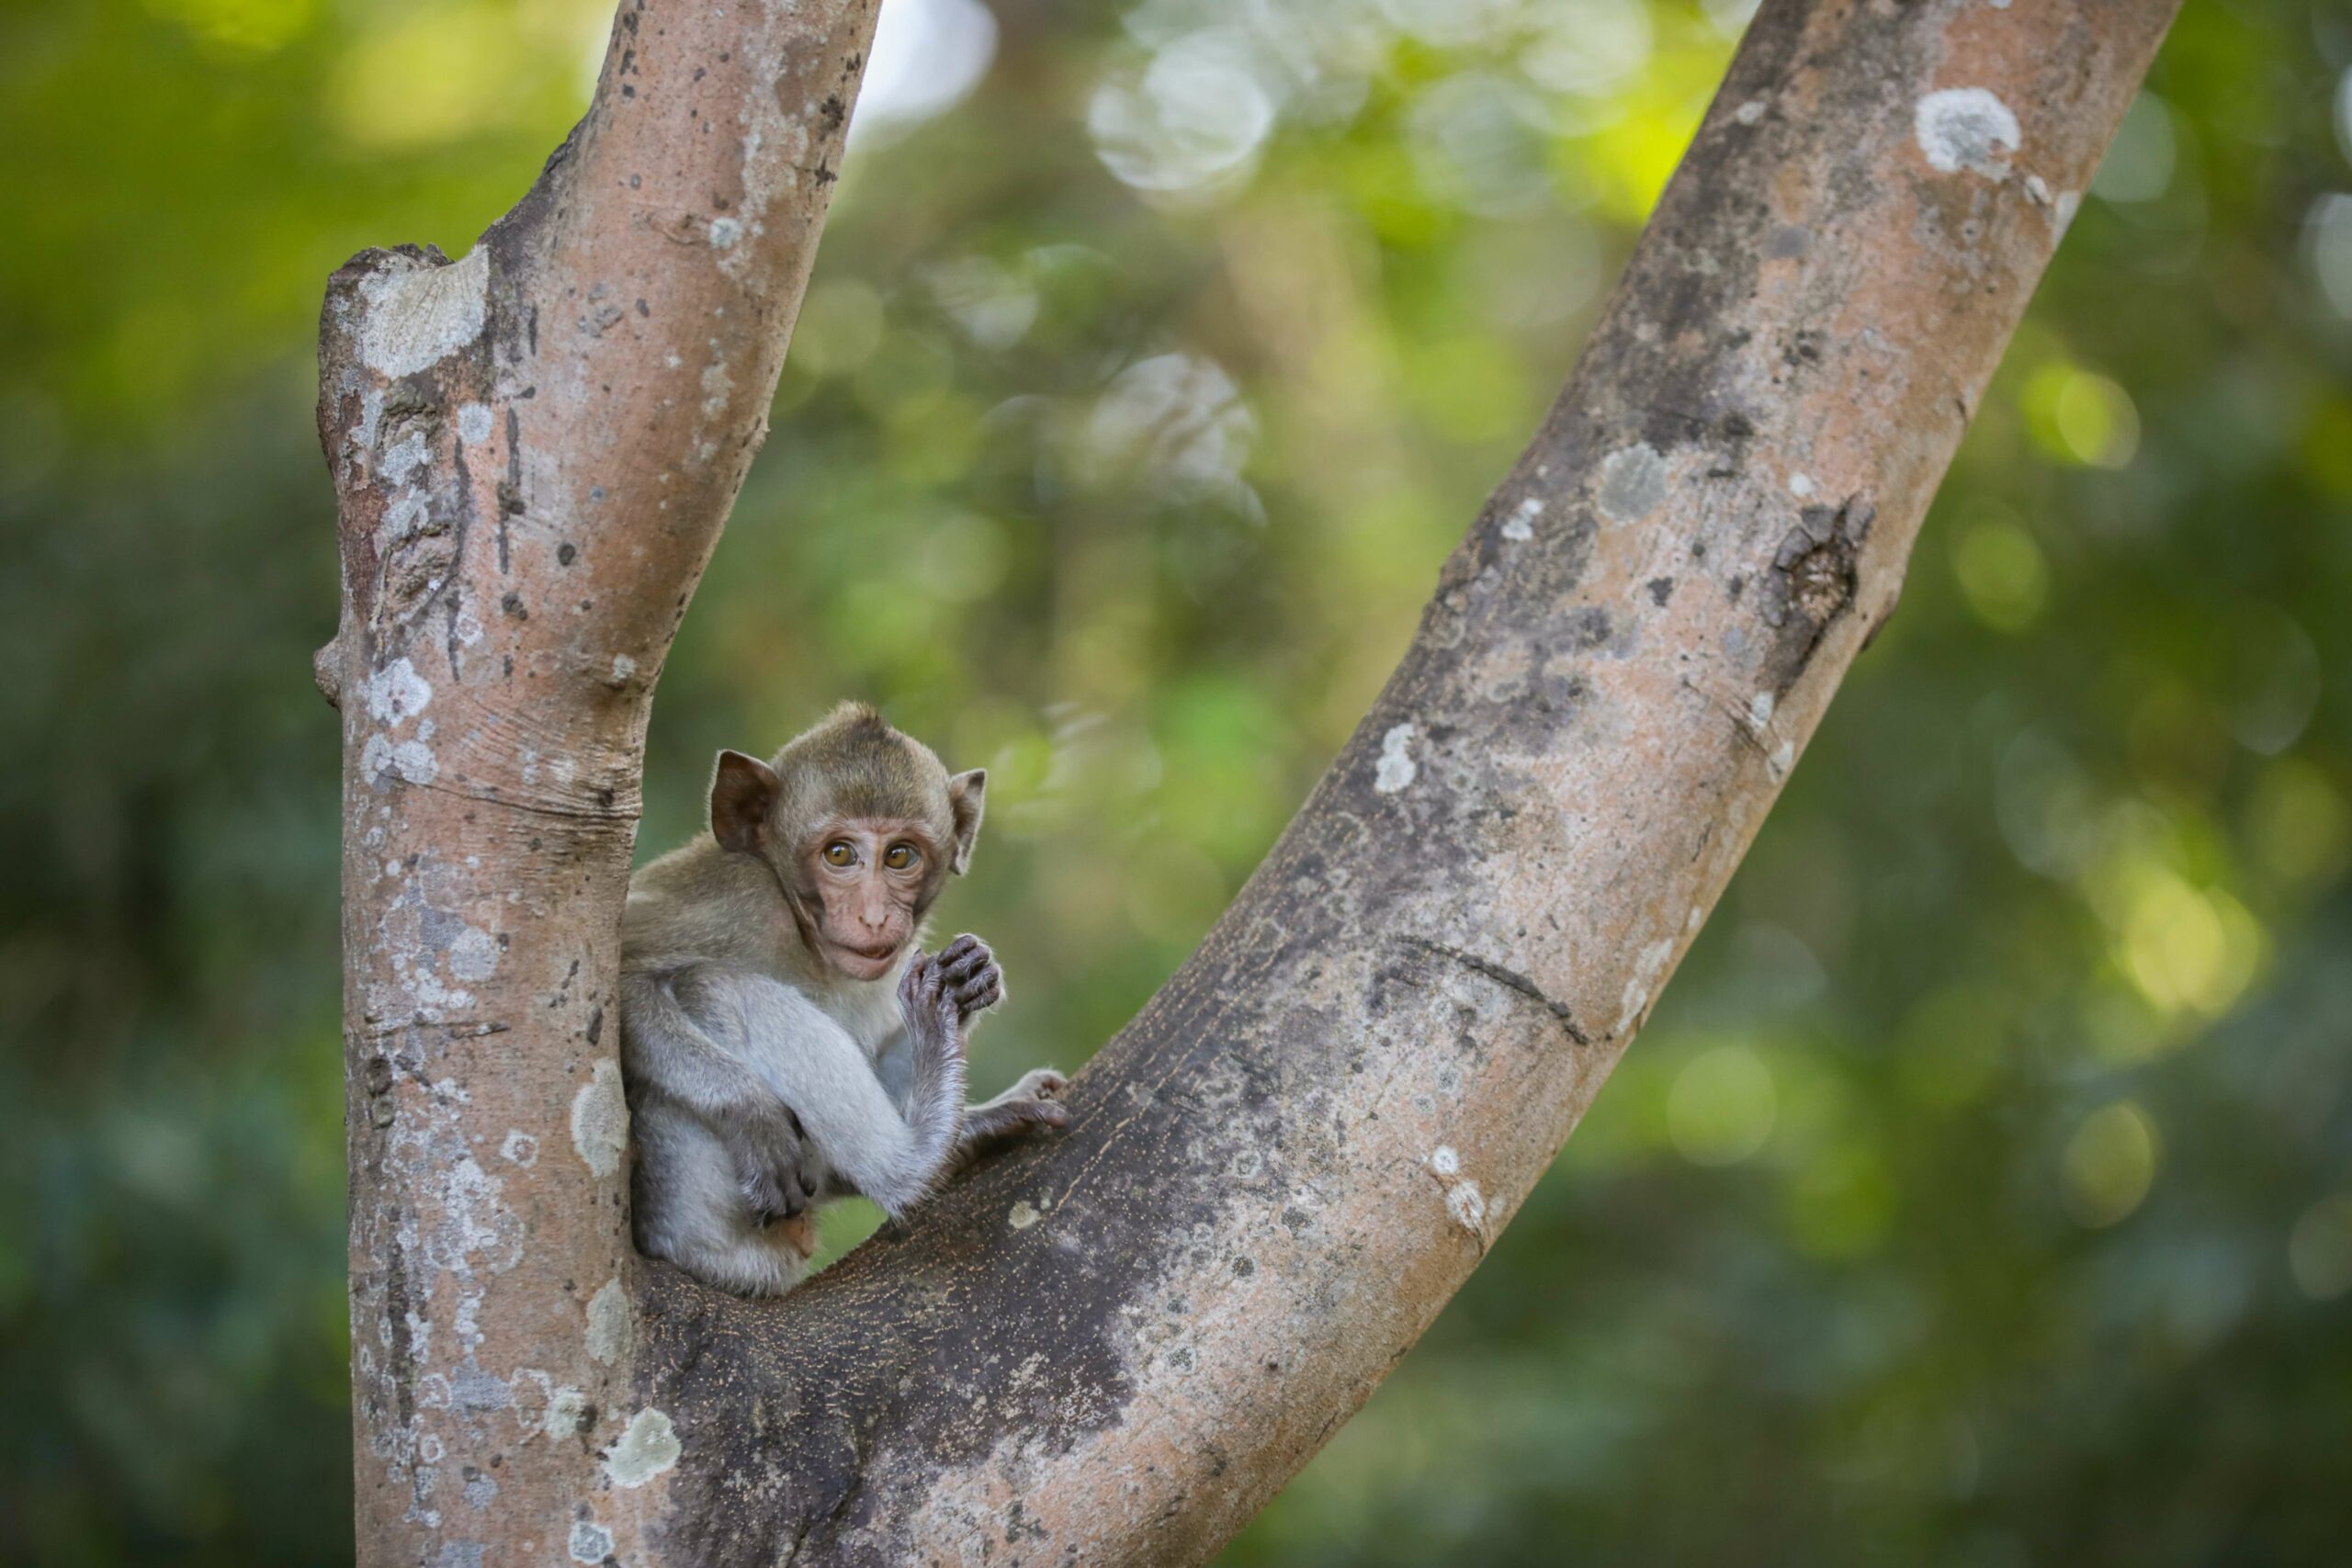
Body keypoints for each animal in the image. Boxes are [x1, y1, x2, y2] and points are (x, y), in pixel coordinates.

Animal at [620, 705, 1072, 1297]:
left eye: (900, 856)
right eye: (839, 853)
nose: (875, 917)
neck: (800, 929)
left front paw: (972, 981)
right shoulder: (729, 903)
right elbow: (625, 985)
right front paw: (747, 1110)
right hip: (695, 1211)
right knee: (710, 986)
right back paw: (915, 1158)